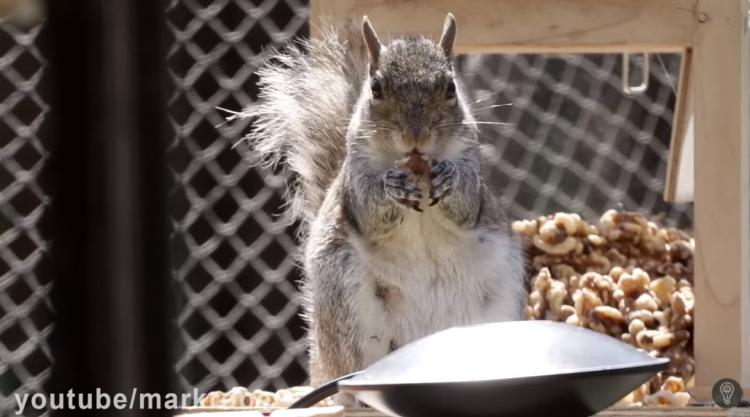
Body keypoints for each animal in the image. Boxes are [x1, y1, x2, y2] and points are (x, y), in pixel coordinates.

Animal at [244, 13, 524, 390]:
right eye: (376, 88)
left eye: (450, 87)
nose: (416, 136)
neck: (417, 166)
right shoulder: (356, 177)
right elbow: (369, 211)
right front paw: (394, 187)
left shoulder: (471, 161)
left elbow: (467, 206)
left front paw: (449, 178)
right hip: (349, 305)